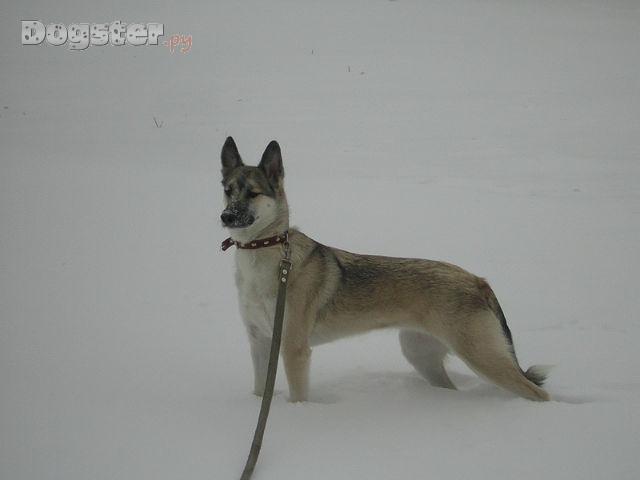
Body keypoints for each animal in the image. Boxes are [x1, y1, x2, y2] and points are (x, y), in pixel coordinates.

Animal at [220, 137, 550, 402]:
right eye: (228, 190)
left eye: (253, 193)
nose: (226, 217)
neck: (261, 253)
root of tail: (478, 280)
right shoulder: (259, 342)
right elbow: (260, 392)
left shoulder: (293, 348)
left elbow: (298, 397)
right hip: (420, 353)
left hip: (479, 355)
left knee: (538, 393)